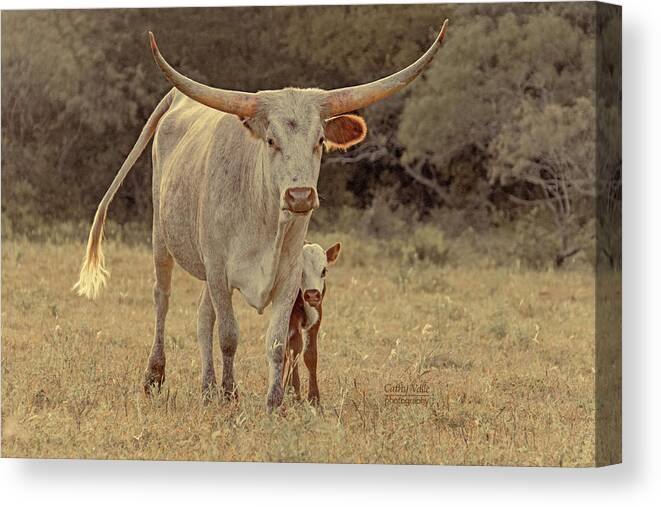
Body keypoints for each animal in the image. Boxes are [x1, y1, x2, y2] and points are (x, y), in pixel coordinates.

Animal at [282, 242, 340, 404]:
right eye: (300, 271)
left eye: (324, 270)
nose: (313, 294)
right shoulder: (291, 319)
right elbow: (294, 350)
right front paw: (294, 393)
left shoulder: (317, 317)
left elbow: (310, 353)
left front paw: (314, 397)